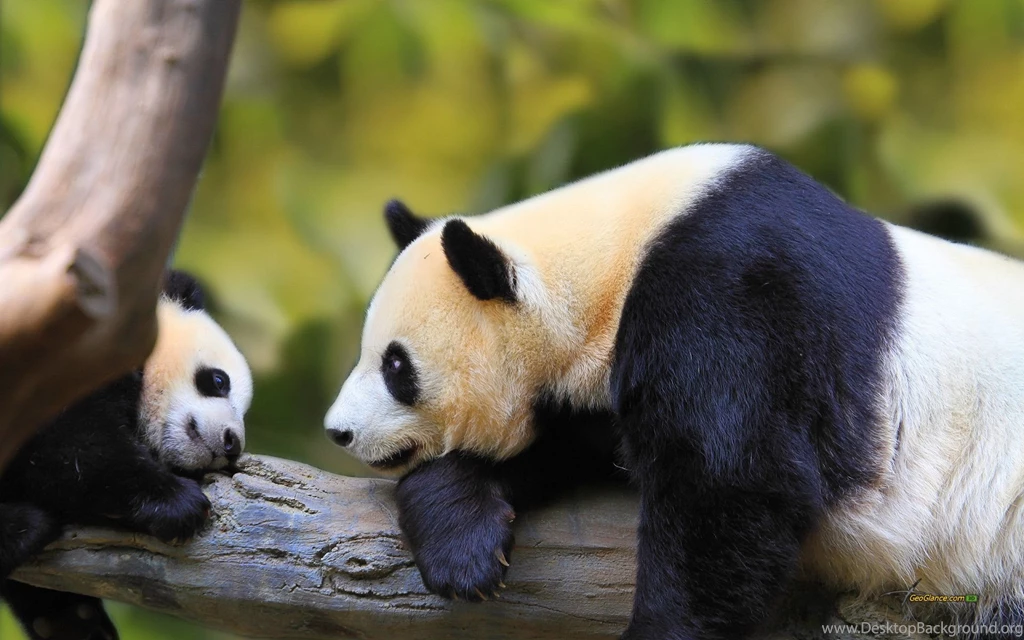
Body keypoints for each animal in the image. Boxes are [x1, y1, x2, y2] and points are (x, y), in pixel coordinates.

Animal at [323, 143, 1024, 639]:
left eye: (396, 366)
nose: (339, 431)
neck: (609, 255)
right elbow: (568, 449)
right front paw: (462, 542)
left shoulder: (736, 293)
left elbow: (731, 480)